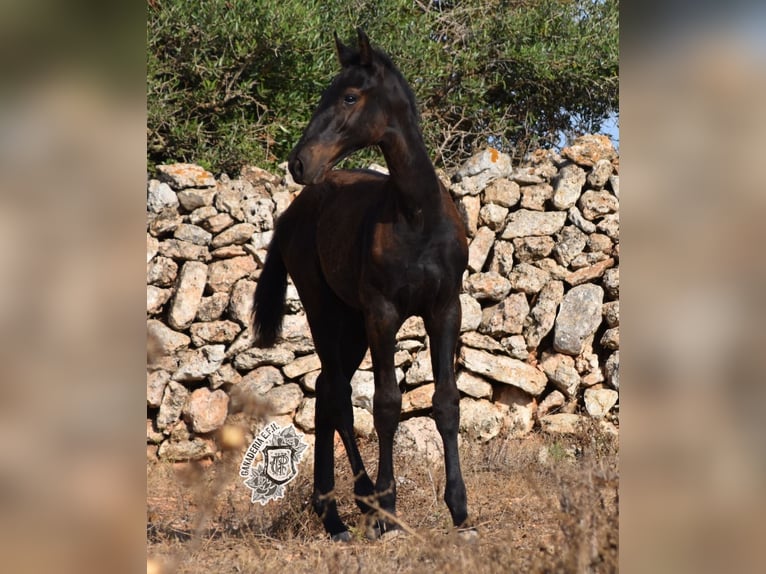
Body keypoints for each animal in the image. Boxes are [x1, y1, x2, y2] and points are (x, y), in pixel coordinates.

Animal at [255, 29, 472, 544]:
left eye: (350, 96)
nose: (298, 163)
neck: (417, 217)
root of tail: (292, 211)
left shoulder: (445, 309)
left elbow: (446, 402)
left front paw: (459, 509)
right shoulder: (383, 312)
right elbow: (387, 404)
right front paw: (388, 507)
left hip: (351, 324)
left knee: (323, 390)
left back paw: (332, 514)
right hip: (324, 309)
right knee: (336, 394)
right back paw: (358, 505)